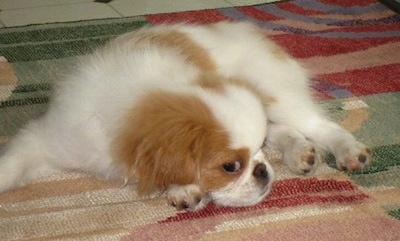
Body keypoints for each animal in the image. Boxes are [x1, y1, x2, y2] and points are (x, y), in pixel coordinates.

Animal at [0, 22, 372, 211]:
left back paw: (348, 151)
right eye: (230, 167)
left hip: (274, 93)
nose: (264, 172)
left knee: (318, 125)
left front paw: (182, 189)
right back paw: (301, 153)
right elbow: (10, 165)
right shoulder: (48, 139)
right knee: (284, 131)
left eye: (248, 162)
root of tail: (251, 33)